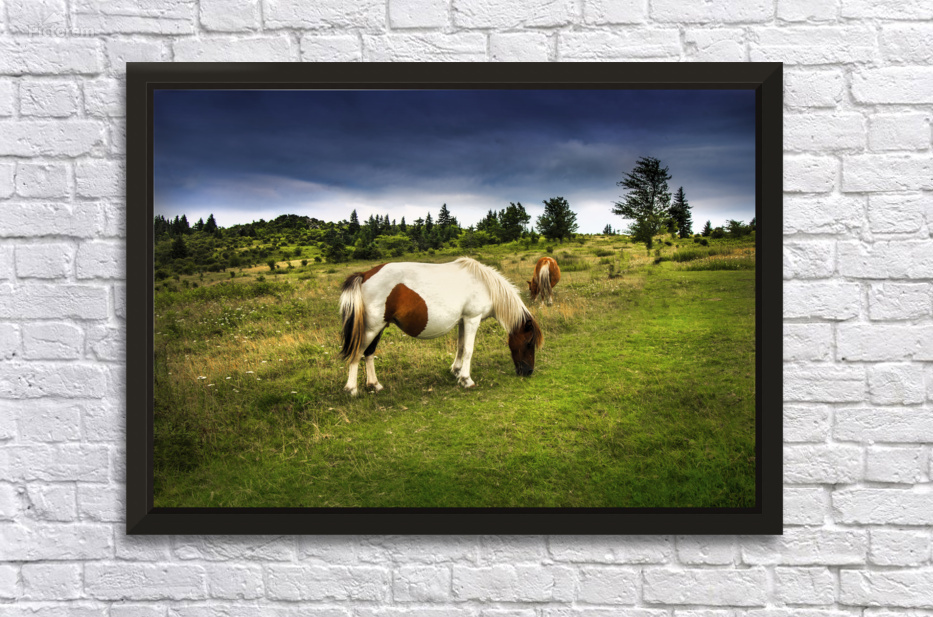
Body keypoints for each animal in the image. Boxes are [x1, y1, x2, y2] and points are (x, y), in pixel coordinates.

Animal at [338, 257, 543, 396]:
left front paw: (457, 371)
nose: (529, 372)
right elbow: (469, 349)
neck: (485, 285)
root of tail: (364, 275)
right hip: (371, 329)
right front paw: (466, 379)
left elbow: (460, 347)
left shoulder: (463, 320)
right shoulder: (472, 319)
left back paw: (374, 384)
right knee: (357, 353)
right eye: (529, 343)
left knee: (369, 353)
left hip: (378, 328)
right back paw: (352, 389)